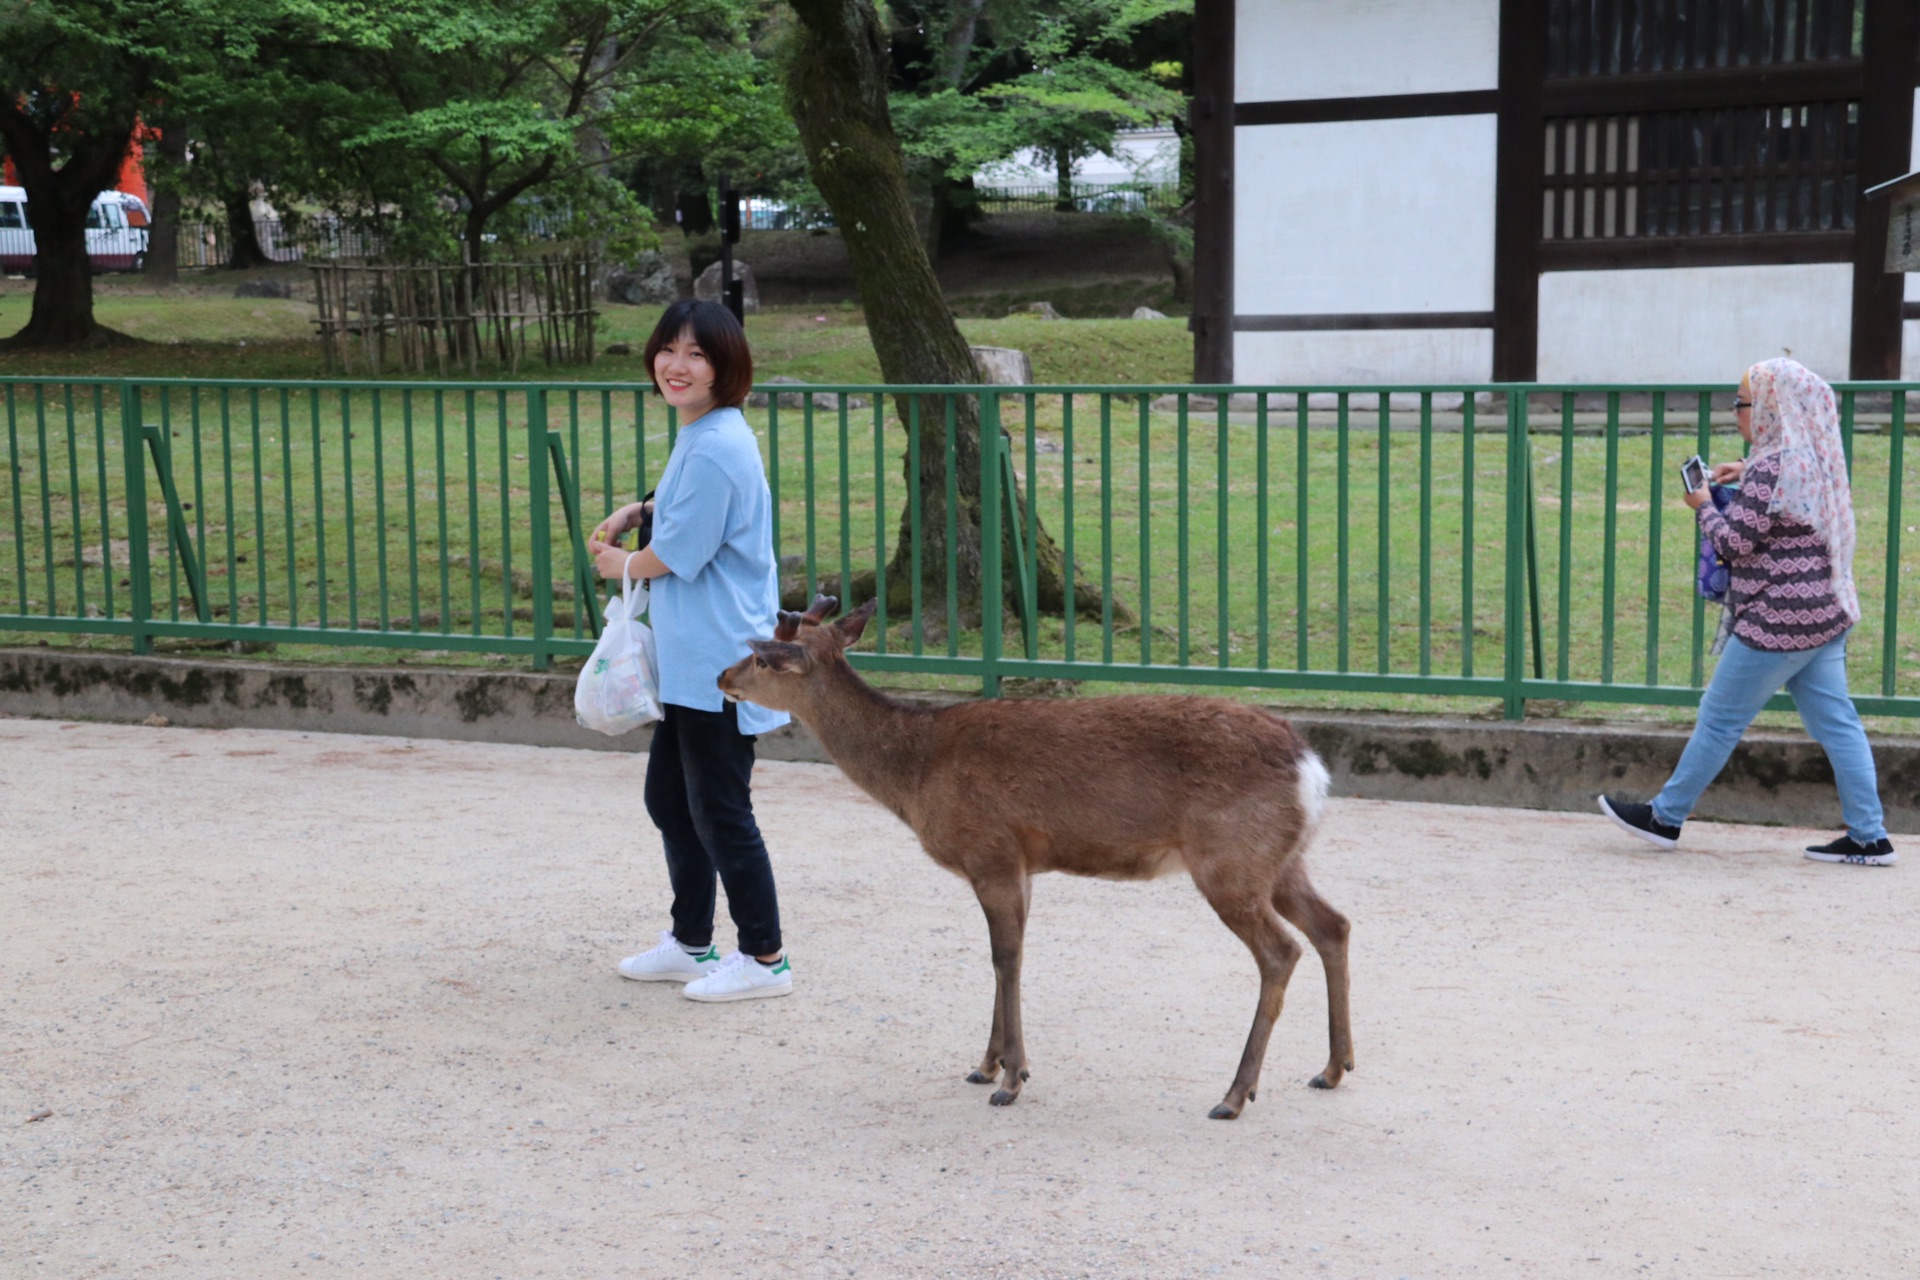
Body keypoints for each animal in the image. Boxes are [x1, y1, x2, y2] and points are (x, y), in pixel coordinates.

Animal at [714, 594, 1359, 1113]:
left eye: (764, 659)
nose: (721, 675)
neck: (916, 774)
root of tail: (1312, 769)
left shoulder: (990, 851)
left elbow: (1005, 957)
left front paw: (1011, 1079)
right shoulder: (1021, 862)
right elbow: (1012, 955)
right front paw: (987, 1065)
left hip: (1229, 860)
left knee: (1281, 950)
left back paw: (1234, 1094)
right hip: (1280, 859)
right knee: (1334, 923)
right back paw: (1333, 1068)